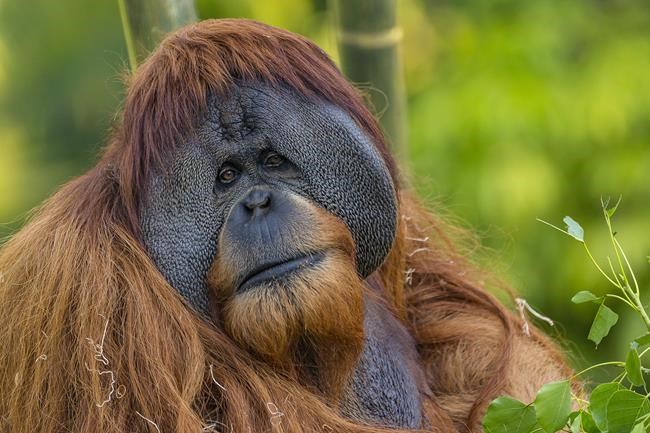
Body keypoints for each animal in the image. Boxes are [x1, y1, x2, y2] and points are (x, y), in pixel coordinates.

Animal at [0, 19, 575, 433]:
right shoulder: (82, 293)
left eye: (273, 162)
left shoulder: (402, 222)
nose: (258, 202)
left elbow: (470, 328)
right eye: (227, 177)